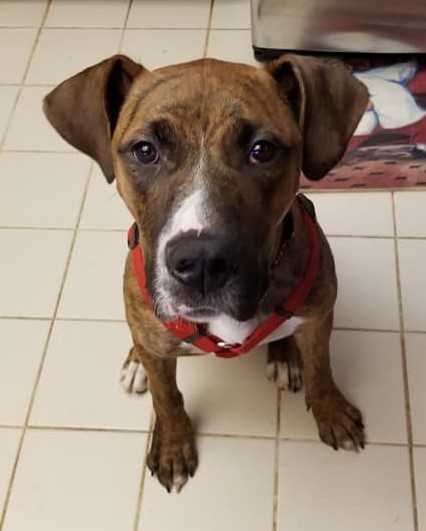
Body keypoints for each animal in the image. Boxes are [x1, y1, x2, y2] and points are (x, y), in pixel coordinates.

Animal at [44, 52, 370, 492]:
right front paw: (172, 445)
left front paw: (331, 411)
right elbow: (166, 397)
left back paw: (285, 355)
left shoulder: (318, 317)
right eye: (144, 150)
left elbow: (322, 368)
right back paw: (136, 361)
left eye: (262, 150)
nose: (201, 262)